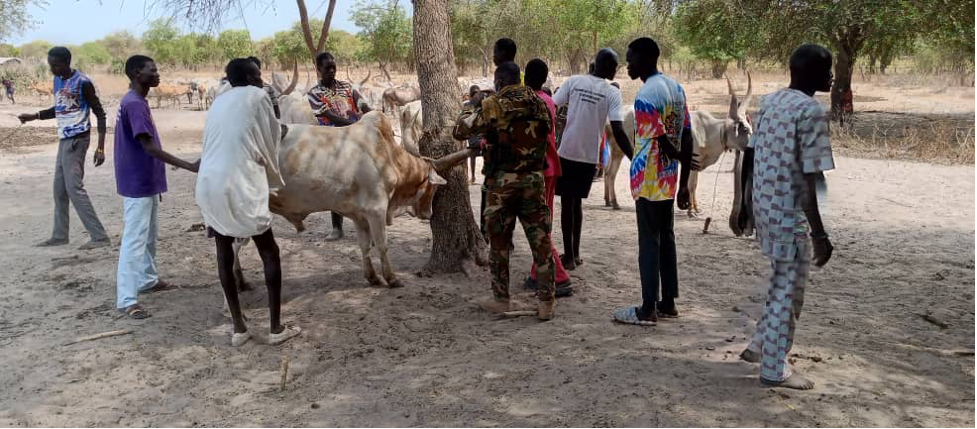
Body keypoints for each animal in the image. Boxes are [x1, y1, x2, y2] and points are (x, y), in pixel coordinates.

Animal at [233, 111, 468, 288]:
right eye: (433, 187)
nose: (428, 213)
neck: (387, 155)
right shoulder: (376, 209)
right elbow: (382, 244)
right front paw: (392, 278)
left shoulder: (359, 215)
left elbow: (364, 246)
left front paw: (373, 277)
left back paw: (242, 282)